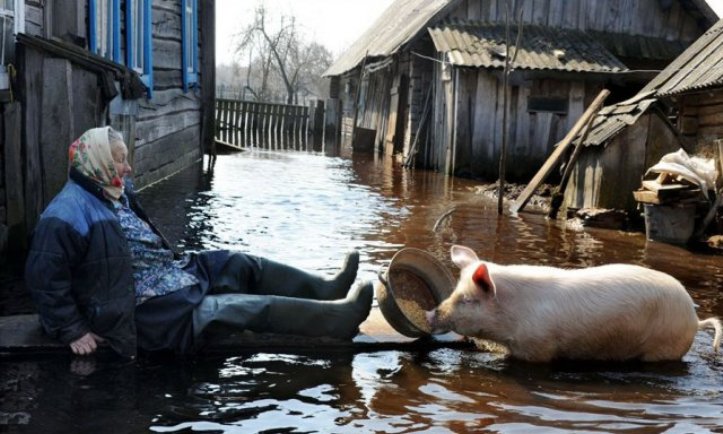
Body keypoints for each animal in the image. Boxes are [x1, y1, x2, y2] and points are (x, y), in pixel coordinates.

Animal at [428, 244, 720, 362]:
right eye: (454, 291)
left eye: (467, 299)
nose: (431, 314)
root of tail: (695, 319)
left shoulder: (538, 347)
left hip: (663, 348)